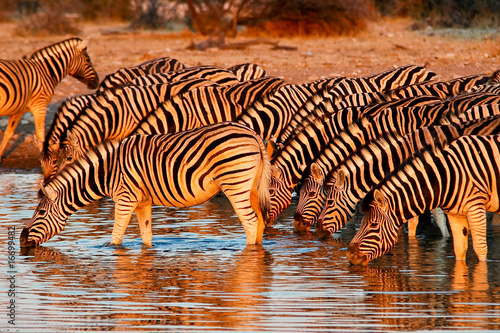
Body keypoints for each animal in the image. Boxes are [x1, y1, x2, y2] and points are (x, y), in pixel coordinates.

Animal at [20, 121, 270, 246]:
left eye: (40, 213)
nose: (21, 240)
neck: (107, 172)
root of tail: (254, 134)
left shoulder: (125, 198)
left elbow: (116, 238)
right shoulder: (142, 203)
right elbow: (147, 237)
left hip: (234, 184)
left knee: (250, 223)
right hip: (251, 188)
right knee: (260, 223)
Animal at [346, 134, 500, 264]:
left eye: (373, 225)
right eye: (362, 223)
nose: (350, 256)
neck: (444, 177)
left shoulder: (475, 207)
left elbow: (480, 249)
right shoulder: (455, 214)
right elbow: (459, 249)